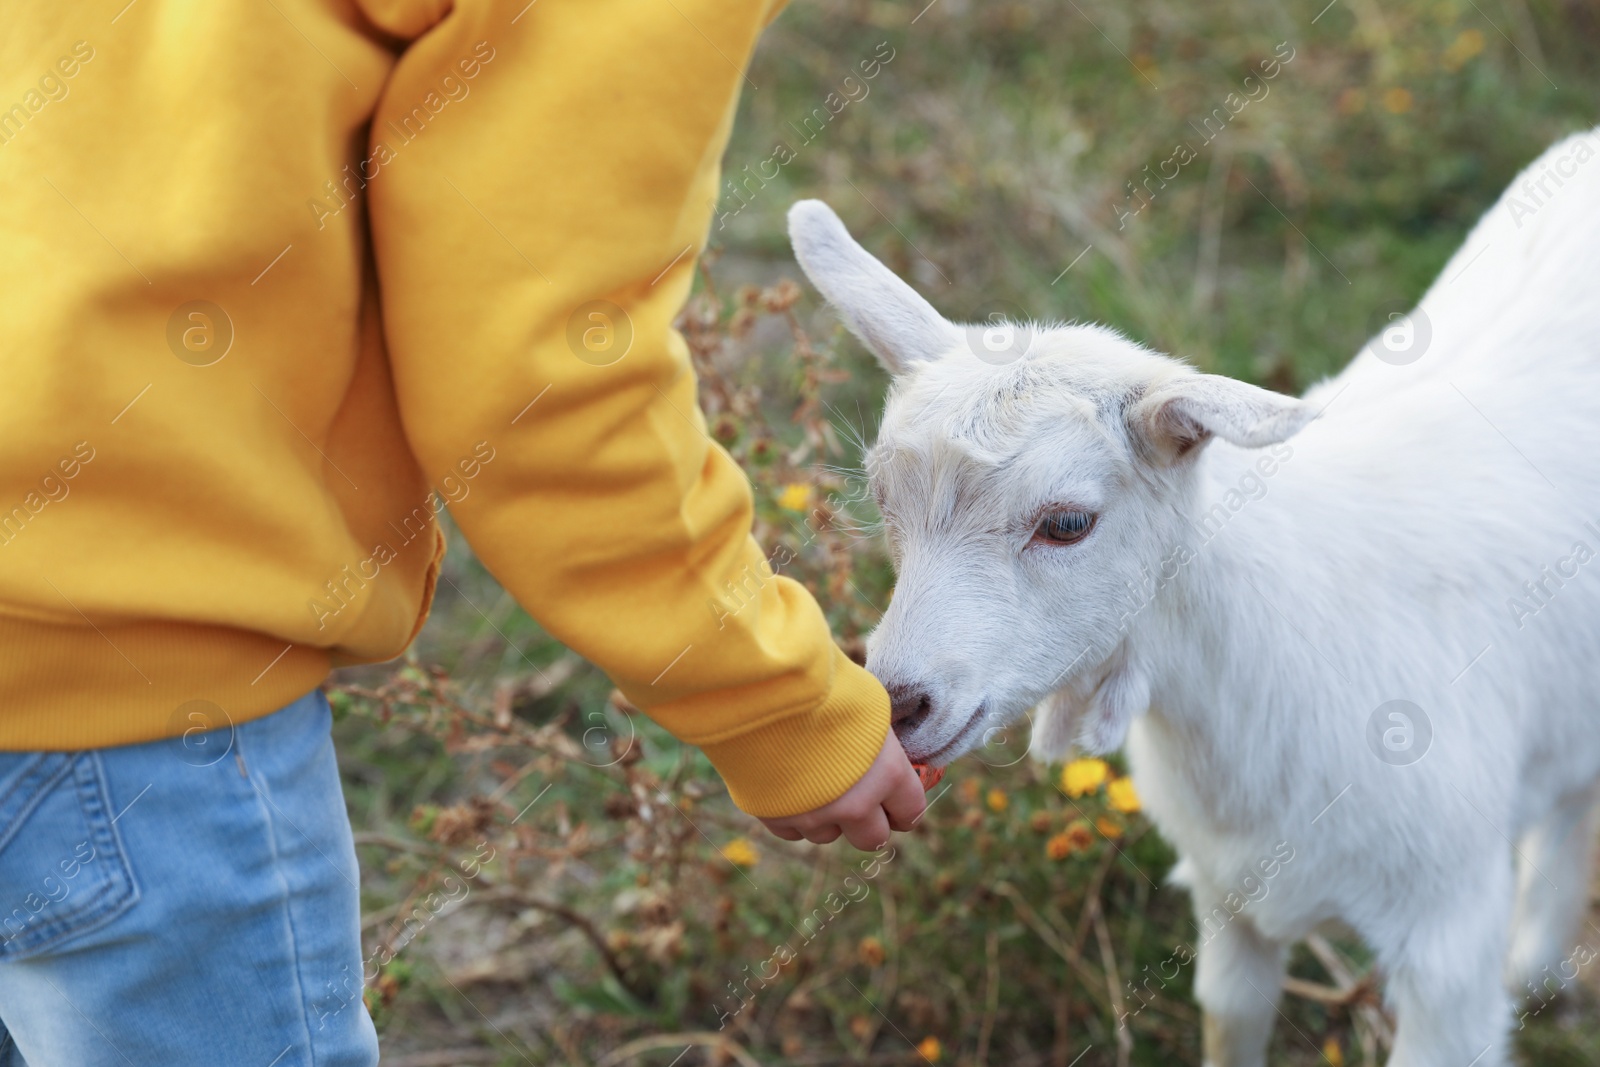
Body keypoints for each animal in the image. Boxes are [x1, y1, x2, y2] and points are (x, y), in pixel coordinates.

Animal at [784, 129, 1600, 1067]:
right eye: (884, 500)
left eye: (1068, 521)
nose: (898, 703)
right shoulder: (1229, 896)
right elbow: (1231, 1015)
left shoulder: (1448, 942)